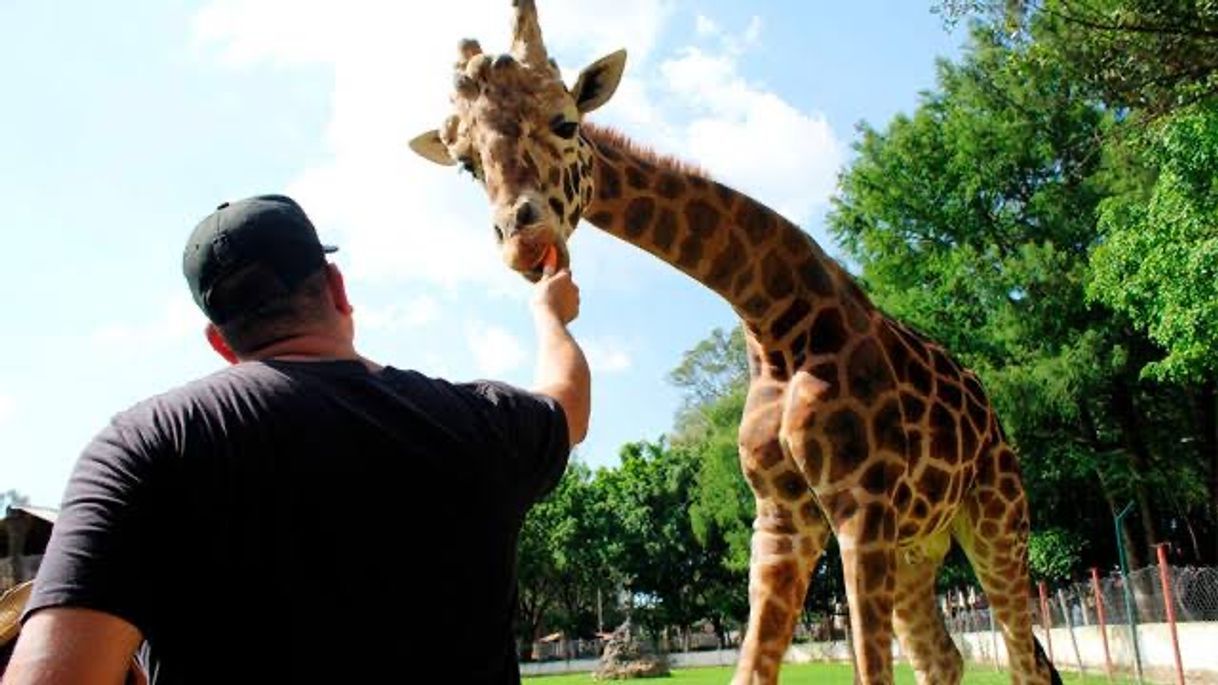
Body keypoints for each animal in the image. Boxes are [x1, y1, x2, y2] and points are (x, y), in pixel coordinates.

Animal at [406, 2, 1057, 677]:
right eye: (466, 162)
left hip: (996, 514)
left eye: (565, 122)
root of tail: (989, 411)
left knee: (1025, 659)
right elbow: (753, 664)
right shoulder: (781, 515)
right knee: (944, 659)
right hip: (918, 546)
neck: (775, 316)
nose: (522, 242)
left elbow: (868, 670)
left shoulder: (861, 506)